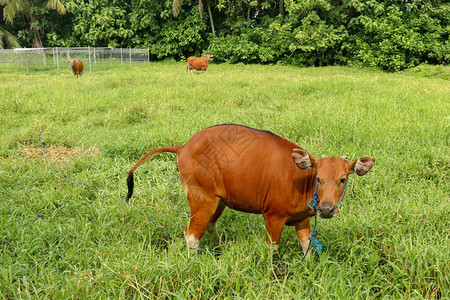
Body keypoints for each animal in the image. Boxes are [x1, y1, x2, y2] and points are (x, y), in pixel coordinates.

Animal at [125, 124, 374, 255]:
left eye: (342, 179)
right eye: (319, 179)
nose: (326, 209)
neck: (301, 181)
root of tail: (183, 147)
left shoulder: (303, 219)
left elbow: (307, 248)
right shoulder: (273, 217)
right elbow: (272, 249)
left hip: (219, 200)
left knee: (210, 226)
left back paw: (221, 250)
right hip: (202, 198)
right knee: (192, 234)